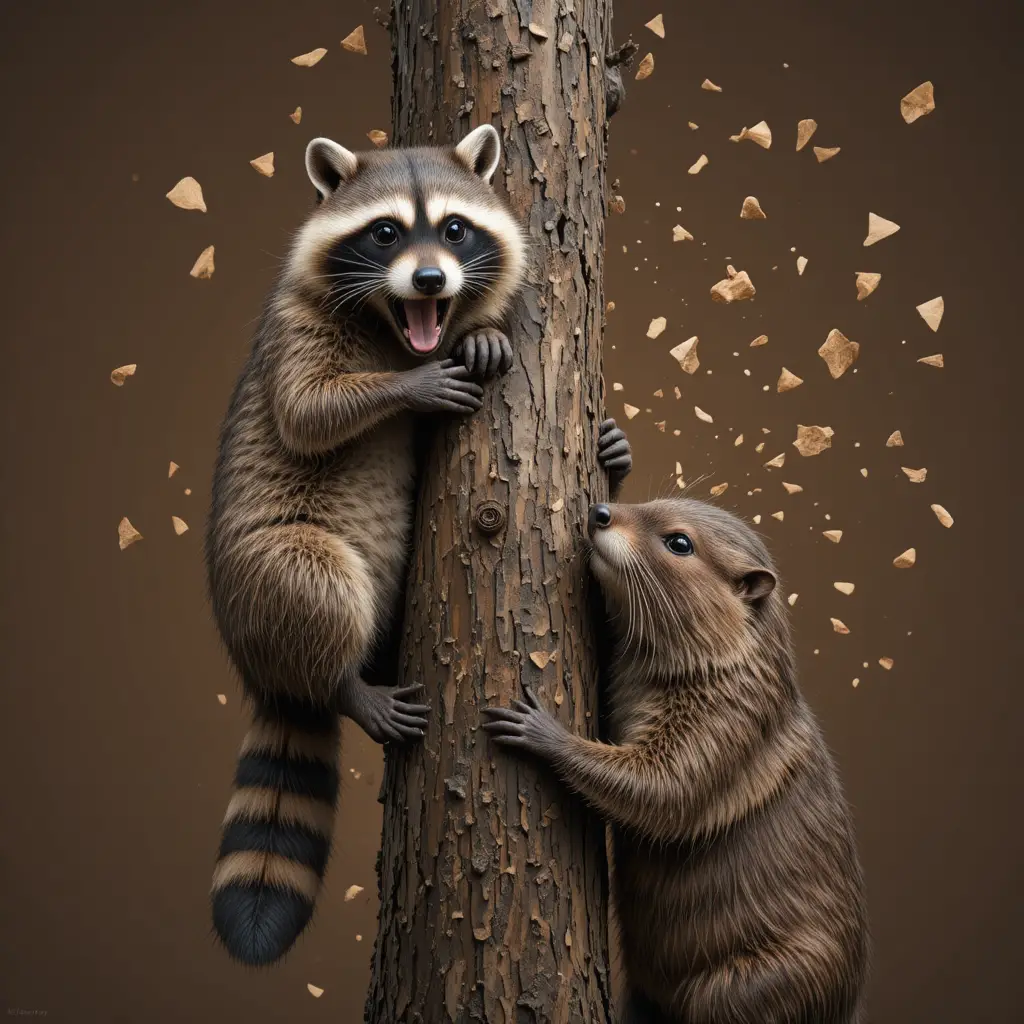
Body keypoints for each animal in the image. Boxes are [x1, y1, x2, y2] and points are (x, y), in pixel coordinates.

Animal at [206, 124, 526, 966]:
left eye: (455, 229)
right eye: (385, 233)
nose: (430, 278)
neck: (394, 323)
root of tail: (266, 673)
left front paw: (481, 328)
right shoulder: (294, 328)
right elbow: (308, 410)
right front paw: (408, 386)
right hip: (269, 568)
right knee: (311, 574)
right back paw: (343, 683)